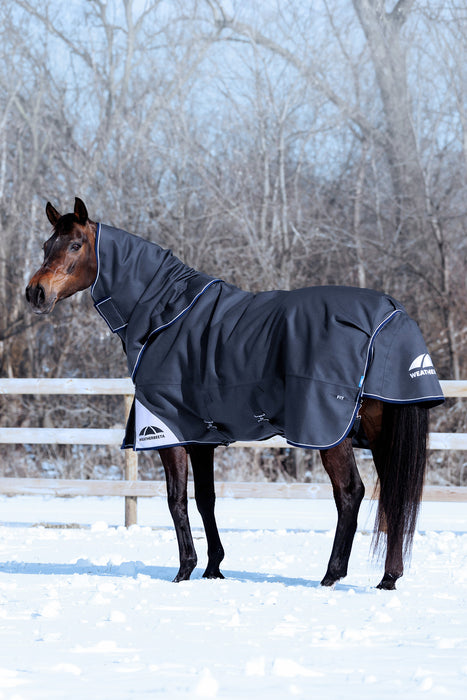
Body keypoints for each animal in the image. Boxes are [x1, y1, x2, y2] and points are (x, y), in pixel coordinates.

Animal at [26, 197, 442, 590]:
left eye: (75, 244)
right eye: (47, 244)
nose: (35, 293)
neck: (166, 315)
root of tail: (391, 315)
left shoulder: (167, 431)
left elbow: (176, 499)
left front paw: (184, 571)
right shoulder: (201, 436)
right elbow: (205, 500)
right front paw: (213, 568)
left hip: (329, 433)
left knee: (351, 493)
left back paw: (331, 576)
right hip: (380, 433)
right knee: (395, 495)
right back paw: (388, 578)